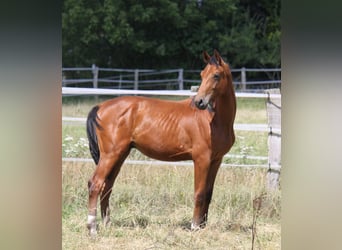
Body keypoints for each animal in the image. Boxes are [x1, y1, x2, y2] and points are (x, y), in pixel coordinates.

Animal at [86, 49, 235, 235]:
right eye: (202, 74)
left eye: (216, 75)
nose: (199, 102)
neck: (212, 120)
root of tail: (100, 107)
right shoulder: (202, 160)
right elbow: (199, 193)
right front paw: (194, 226)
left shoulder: (215, 160)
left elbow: (208, 193)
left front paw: (202, 226)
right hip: (110, 155)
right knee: (95, 184)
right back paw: (92, 228)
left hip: (120, 155)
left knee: (107, 186)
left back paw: (107, 223)